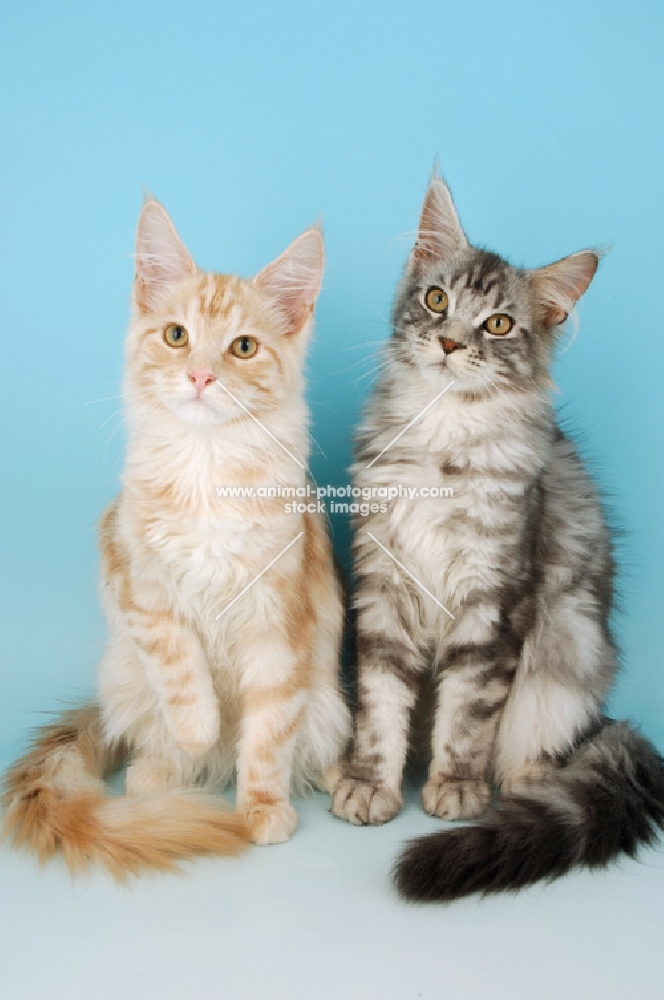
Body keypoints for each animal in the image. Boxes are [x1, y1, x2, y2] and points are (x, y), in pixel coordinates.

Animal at [2, 197, 350, 876]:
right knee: (159, 741)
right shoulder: (138, 581)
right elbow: (181, 667)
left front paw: (261, 808)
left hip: (330, 699)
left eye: (243, 348)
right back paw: (161, 772)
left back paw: (324, 775)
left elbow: (267, 732)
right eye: (176, 336)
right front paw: (200, 728)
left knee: (304, 740)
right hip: (123, 676)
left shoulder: (279, 617)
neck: (205, 468)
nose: (199, 377)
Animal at [330, 176, 664, 904]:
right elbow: (380, 702)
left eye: (499, 324)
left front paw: (455, 785)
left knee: (551, 738)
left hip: (567, 648)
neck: (441, 438)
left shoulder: (496, 596)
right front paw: (369, 783)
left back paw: (526, 780)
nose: (452, 344)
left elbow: (468, 710)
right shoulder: (383, 585)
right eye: (437, 300)